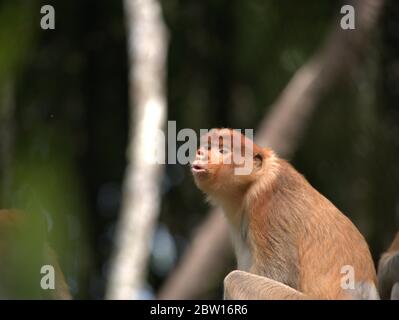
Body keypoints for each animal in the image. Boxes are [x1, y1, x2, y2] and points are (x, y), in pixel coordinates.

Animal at [192, 128, 380, 300]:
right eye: (207, 147)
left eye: (222, 150)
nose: (201, 153)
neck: (253, 182)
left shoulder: (268, 203)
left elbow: (280, 276)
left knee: (235, 280)